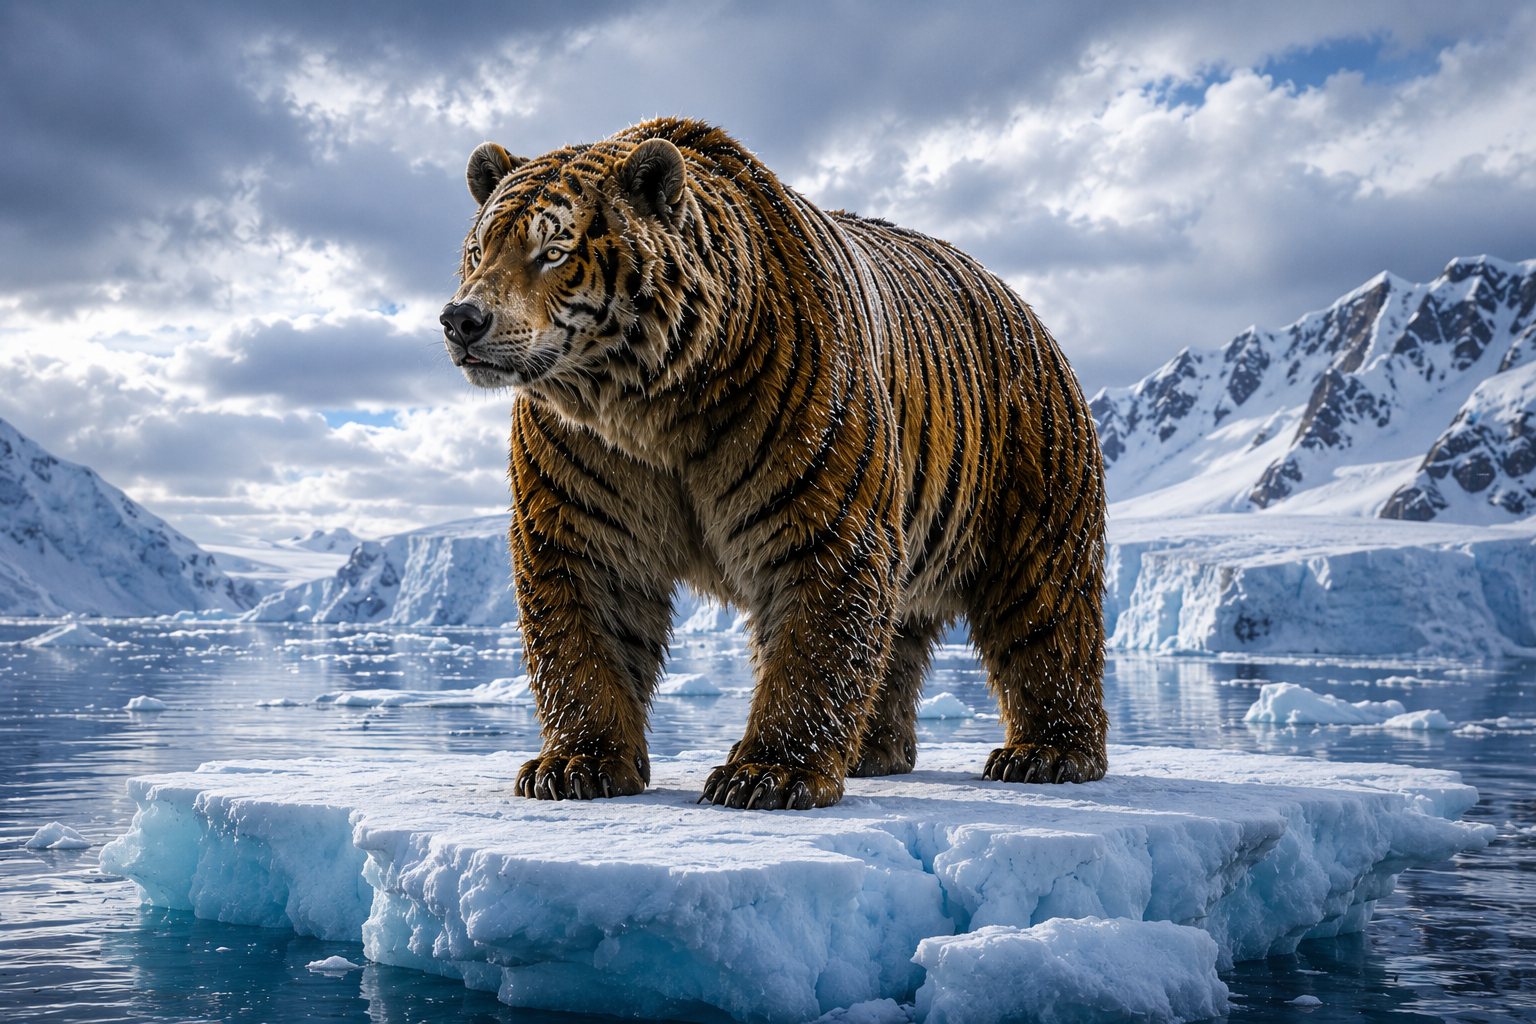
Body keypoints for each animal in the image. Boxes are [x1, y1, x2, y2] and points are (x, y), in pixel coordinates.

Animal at [440, 118, 1108, 809]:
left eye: (553, 250)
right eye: (479, 249)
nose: (462, 318)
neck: (643, 401)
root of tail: (1026, 310)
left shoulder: (812, 481)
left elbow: (817, 619)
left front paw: (769, 771)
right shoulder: (585, 478)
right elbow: (588, 613)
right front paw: (576, 764)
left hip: (1030, 485)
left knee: (1043, 615)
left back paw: (1047, 753)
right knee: (897, 639)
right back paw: (872, 750)